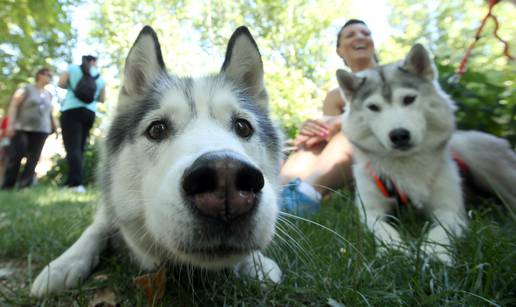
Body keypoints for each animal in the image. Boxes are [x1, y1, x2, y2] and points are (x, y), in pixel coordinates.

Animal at [31, 25, 282, 298]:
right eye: (157, 129)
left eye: (242, 127)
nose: (226, 177)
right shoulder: (107, 211)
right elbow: (95, 229)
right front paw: (63, 264)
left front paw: (256, 263)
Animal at [338, 44, 516, 266]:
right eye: (373, 107)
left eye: (408, 99)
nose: (399, 135)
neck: (407, 165)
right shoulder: (370, 211)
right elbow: (383, 228)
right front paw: (394, 250)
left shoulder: (450, 209)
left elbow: (441, 231)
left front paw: (434, 253)